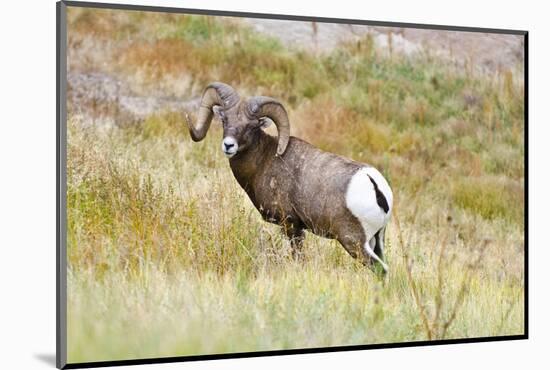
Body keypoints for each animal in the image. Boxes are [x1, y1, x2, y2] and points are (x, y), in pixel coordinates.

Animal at [188, 82, 394, 274]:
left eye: (251, 126)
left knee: (380, 269)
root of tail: (375, 187)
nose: (229, 145)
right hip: (377, 240)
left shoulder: (291, 226)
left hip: (354, 242)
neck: (264, 160)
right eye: (224, 119)